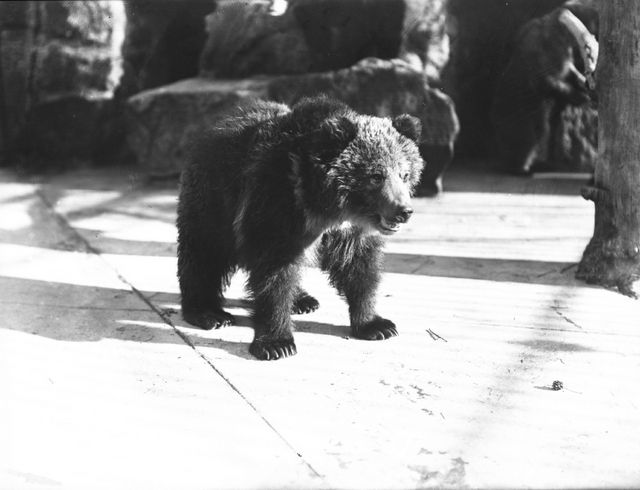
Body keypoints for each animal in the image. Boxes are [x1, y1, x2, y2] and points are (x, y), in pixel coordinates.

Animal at [176, 97, 424, 362]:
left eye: (404, 174)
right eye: (376, 176)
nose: (404, 211)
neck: (325, 207)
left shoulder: (349, 234)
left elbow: (360, 269)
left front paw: (377, 325)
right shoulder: (276, 206)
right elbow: (275, 273)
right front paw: (277, 343)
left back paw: (303, 300)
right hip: (213, 202)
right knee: (203, 256)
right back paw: (209, 313)